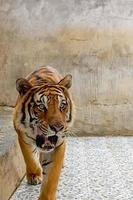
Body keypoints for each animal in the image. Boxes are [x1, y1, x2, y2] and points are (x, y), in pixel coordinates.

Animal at [13, 66, 74, 199]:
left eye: (62, 106)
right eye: (41, 106)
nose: (58, 128)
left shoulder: (58, 145)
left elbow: (52, 176)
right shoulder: (22, 135)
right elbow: (29, 157)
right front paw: (34, 176)